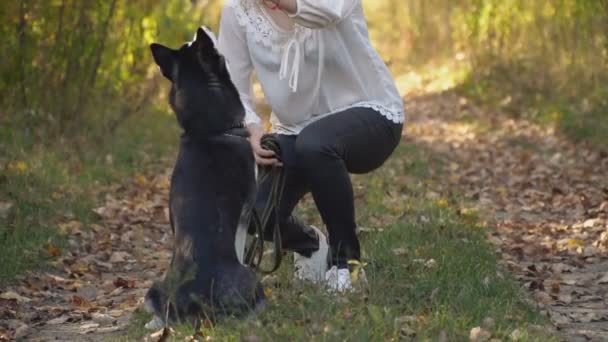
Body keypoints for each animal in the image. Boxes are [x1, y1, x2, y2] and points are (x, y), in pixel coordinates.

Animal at [145, 28, 266, 324]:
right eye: (197, 42)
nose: (201, 28)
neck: (208, 130)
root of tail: (196, 307)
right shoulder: (246, 212)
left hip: (154, 288)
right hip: (251, 279)